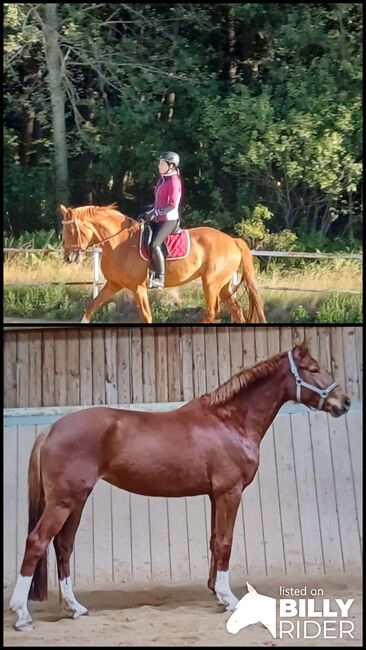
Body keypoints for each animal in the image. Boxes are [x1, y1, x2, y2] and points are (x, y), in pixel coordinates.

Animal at [10, 340, 350, 628]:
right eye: (314, 369)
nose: (344, 402)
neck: (229, 421)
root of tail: (51, 429)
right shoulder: (229, 492)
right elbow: (225, 542)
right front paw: (229, 598)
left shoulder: (215, 495)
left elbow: (214, 541)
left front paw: (216, 593)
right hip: (63, 501)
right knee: (37, 542)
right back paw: (22, 614)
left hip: (76, 501)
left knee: (63, 546)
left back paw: (74, 608)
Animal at [60, 204, 266, 322]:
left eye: (72, 231)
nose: (69, 257)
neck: (119, 242)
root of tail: (233, 241)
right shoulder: (114, 284)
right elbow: (91, 307)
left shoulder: (138, 287)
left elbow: (146, 316)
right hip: (222, 286)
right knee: (236, 311)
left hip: (211, 283)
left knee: (212, 311)